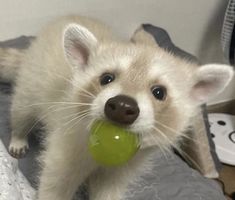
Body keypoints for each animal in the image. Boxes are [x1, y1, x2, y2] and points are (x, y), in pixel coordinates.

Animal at [0, 15, 233, 200]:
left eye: (159, 92)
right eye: (106, 78)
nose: (121, 106)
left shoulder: (125, 166)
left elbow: (109, 190)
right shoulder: (67, 143)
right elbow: (55, 184)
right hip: (32, 80)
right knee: (21, 111)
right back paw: (19, 135)